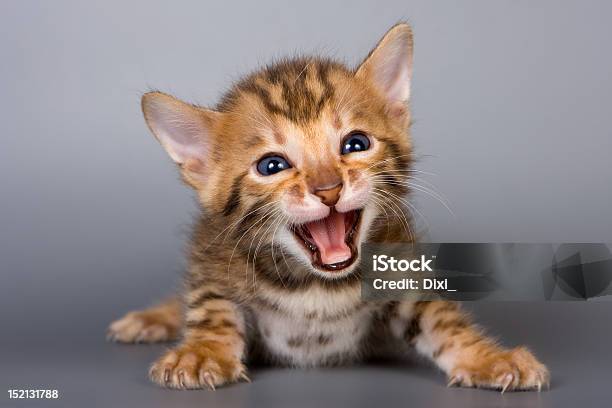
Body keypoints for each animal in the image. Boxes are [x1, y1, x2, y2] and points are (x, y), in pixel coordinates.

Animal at [109, 23, 548, 392]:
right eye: (272, 166)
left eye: (356, 144)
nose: (329, 189)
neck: (316, 286)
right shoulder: (212, 255)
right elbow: (210, 305)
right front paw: (202, 354)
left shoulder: (403, 269)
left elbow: (442, 319)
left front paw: (489, 358)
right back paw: (152, 319)